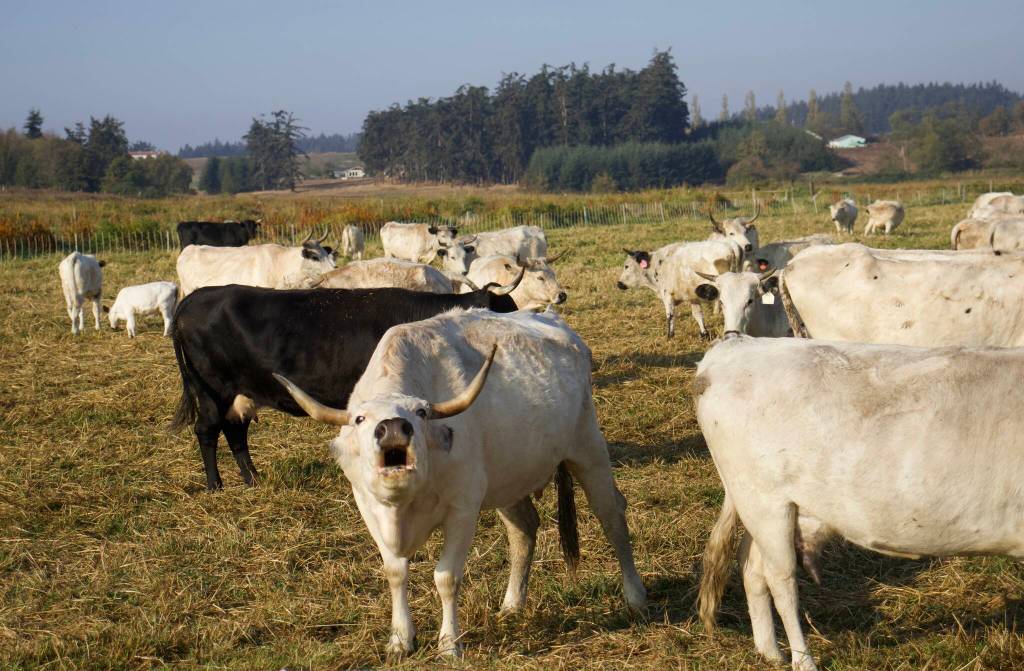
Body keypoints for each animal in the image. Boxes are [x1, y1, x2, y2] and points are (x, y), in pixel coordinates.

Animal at [169, 274, 524, 491]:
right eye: (506, 309)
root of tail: (195, 298)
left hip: (240, 393)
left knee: (235, 431)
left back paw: (253, 478)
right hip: (213, 391)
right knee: (207, 430)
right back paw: (215, 485)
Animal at [273, 308, 647, 656]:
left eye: (421, 413)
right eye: (360, 418)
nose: (393, 427)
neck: (405, 507)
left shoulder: (463, 510)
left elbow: (446, 577)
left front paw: (449, 644)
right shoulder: (368, 506)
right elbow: (395, 572)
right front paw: (400, 640)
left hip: (588, 449)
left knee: (612, 516)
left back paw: (635, 597)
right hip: (508, 481)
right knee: (524, 529)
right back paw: (512, 605)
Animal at [697, 335, 1024, 671]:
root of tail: (734, 346)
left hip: (768, 508)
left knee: (752, 567)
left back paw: (769, 652)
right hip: (765, 503)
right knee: (781, 581)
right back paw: (803, 660)